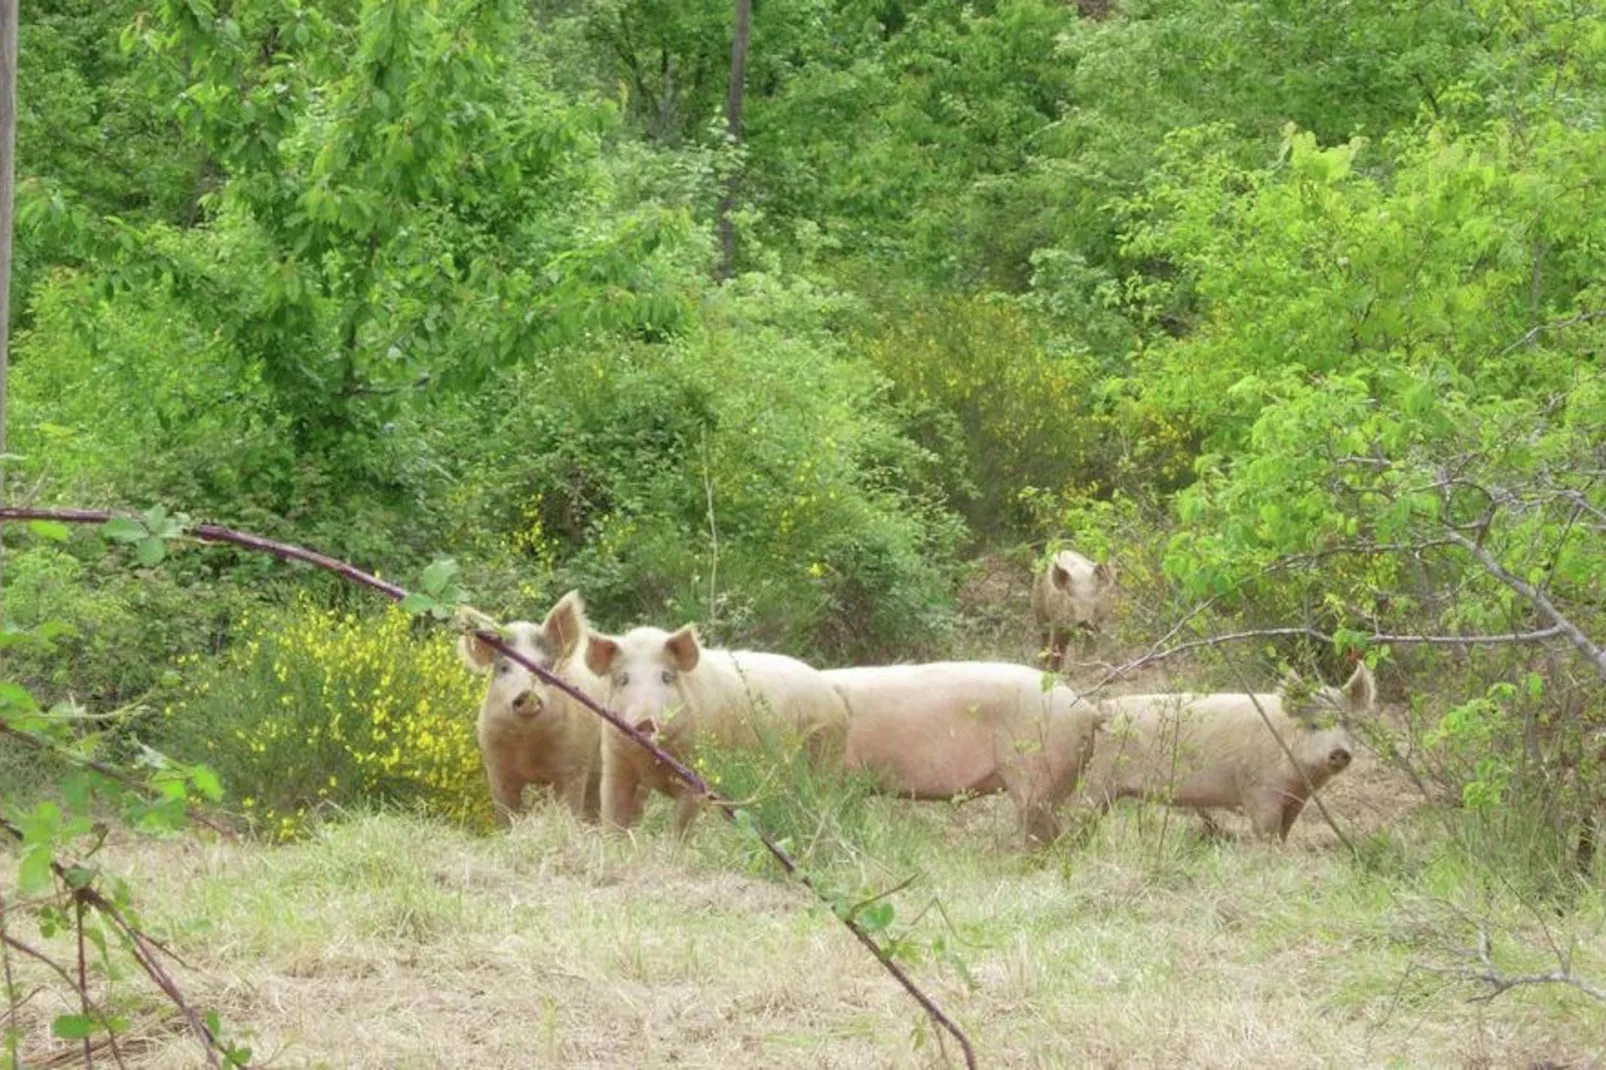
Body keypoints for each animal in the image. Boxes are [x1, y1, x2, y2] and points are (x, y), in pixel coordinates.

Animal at [459, 588, 607, 819]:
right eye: (504, 668)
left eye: (544, 666)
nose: (528, 694)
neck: (529, 745)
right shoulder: (496, 768)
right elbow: (506, 812)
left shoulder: (575, 766)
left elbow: (571, 807)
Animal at [581, 626, 854, 835]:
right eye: (622, 679)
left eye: (667, 677)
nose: (646, 721)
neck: (652, 764)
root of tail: (832, 692)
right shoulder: (615, 761)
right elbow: (613, 812)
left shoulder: (697, 775)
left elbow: (681, 823)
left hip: (826, 756)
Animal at [1072, 658, 1374, 841]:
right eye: (1313, 725)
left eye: (1348, 723)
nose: (1339, 751)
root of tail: (1098, 711)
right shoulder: (1258, 792)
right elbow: (1265, 832)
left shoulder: (1296, 800)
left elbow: (1284, 833)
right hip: (1094, 782)